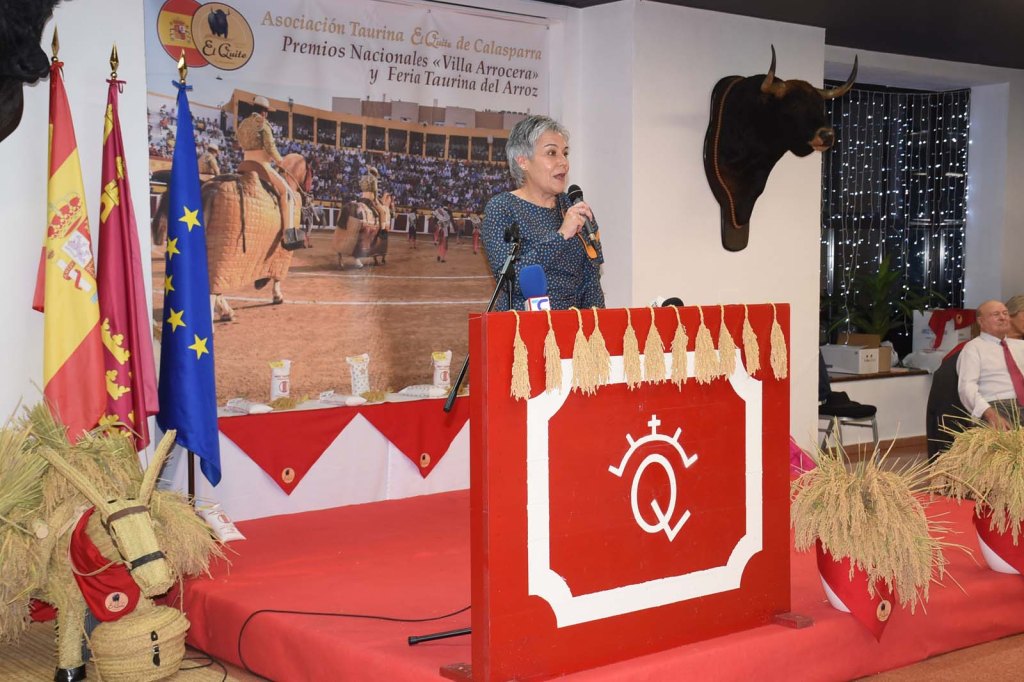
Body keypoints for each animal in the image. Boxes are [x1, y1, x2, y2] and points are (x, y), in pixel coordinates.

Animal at [0, 405, 221, 680]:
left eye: (150, 519)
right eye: (113, 530)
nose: (160, 580)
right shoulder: (67, 594)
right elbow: (71, 631)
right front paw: (70, 671)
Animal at [151, 152, 314, 321]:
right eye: (311, 174)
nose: (309, 196)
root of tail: (209, 189)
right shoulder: (283, 252)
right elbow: (278, 274)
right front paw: (277, 295)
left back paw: (224, 311)